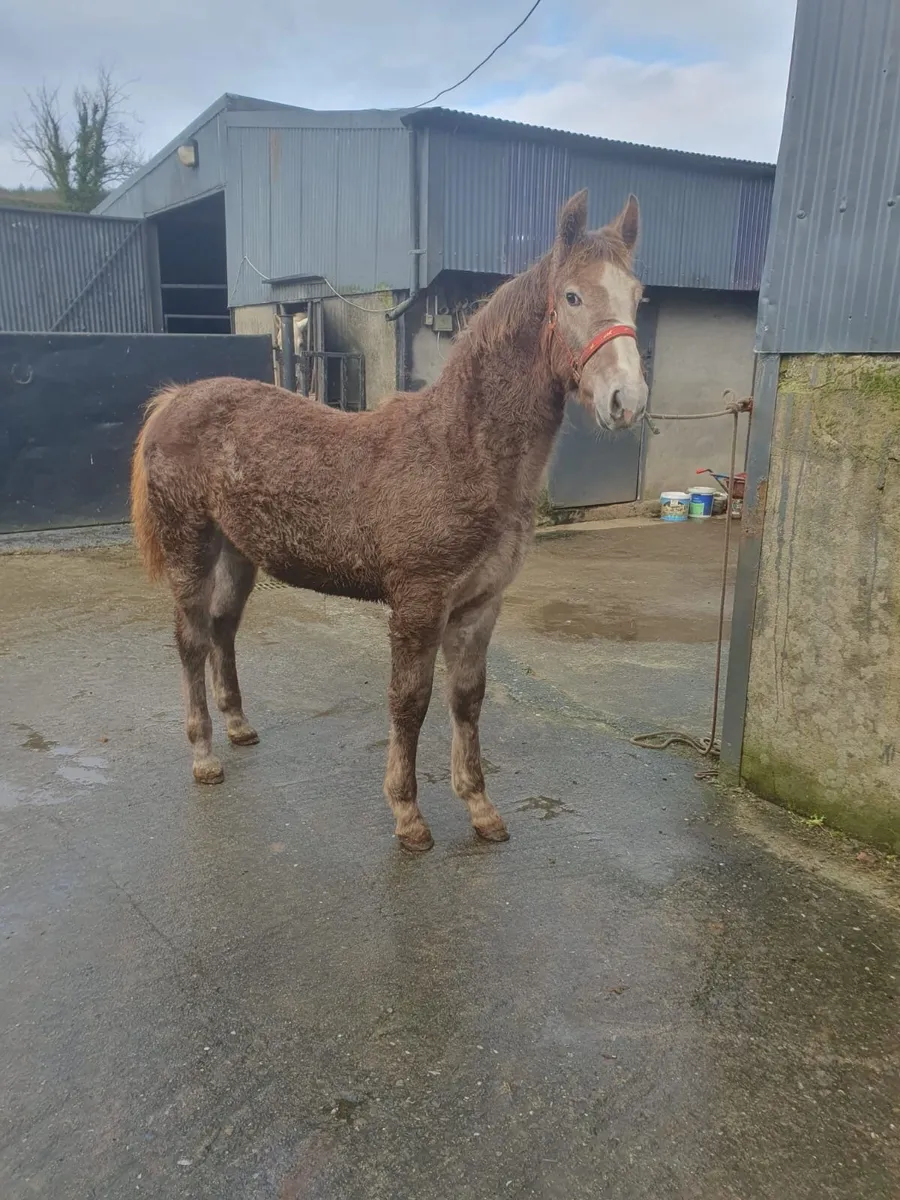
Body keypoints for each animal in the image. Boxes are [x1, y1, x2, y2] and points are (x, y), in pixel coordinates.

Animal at [130, 188, 648, 851]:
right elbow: (410, 701)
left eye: (637, 295)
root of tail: (176, 398)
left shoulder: (480, 604)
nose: (626, 401)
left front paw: (480, 808)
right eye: (572, 296)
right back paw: (204, 755)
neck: (460, 450)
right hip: (189, 546)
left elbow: (467, 699)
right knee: (191, 639)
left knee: (223, 628)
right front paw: (408, 815)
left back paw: (240, 725)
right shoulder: (418, 603)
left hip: (239, 551)